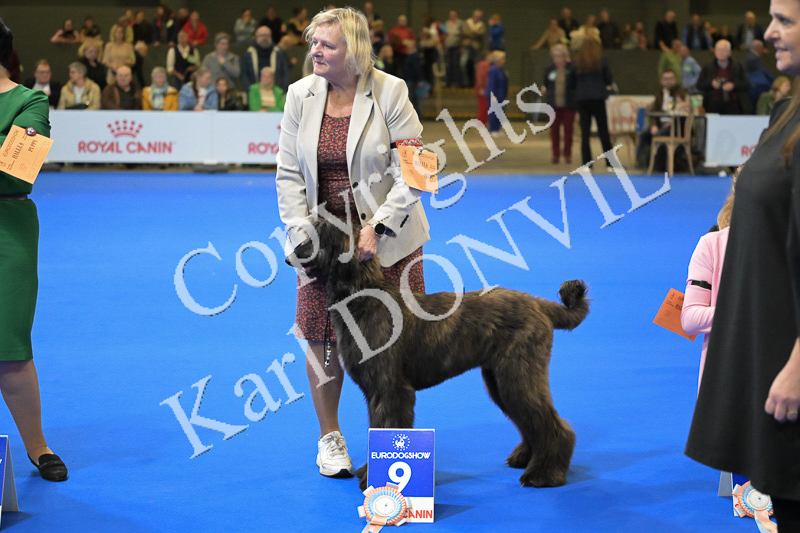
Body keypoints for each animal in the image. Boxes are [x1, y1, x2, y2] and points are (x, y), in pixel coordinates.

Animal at [287, 218, 589, 489]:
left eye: (319, 235)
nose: (290, 257)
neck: (365, 298)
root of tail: (540, 305)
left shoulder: (391, 389)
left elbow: (387, 427)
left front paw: (376, 478)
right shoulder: (375, 391)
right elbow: (377, 428)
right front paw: (369, 472)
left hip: (518, 375)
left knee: (552, 425)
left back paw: (544, 474)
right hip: (501, 380)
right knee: (530, 421)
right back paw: (526, 459)